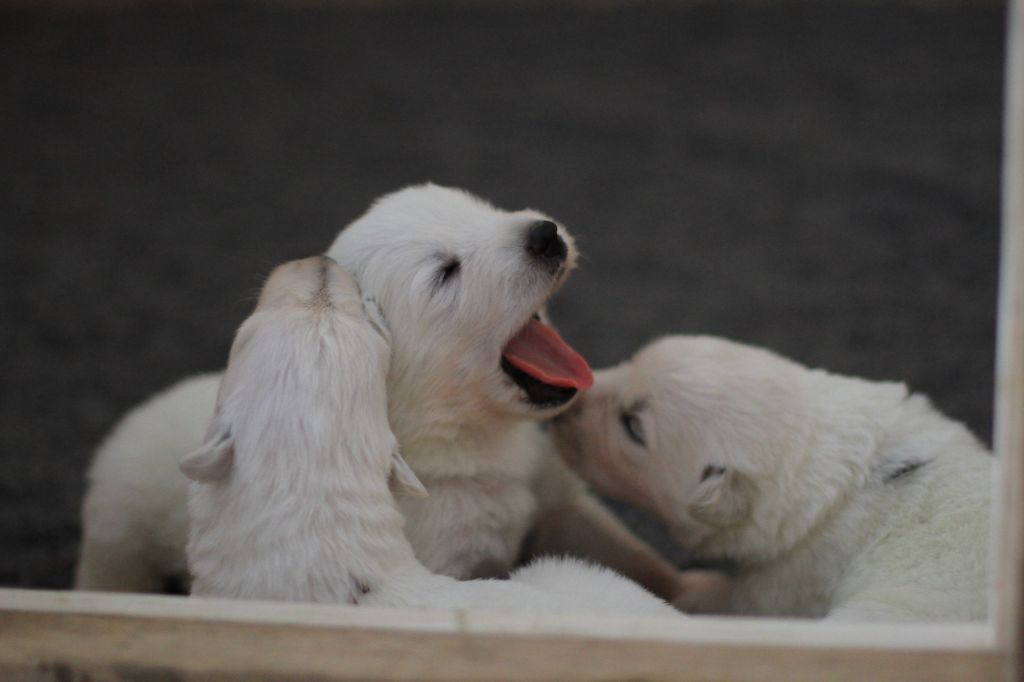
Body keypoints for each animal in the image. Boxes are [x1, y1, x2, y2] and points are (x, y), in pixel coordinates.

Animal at [552, 333, 991, 622]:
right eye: (630, 362)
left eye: (632, 426)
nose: (568, 402)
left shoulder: (792, 575)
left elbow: (743, 600)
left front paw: (697, 589)